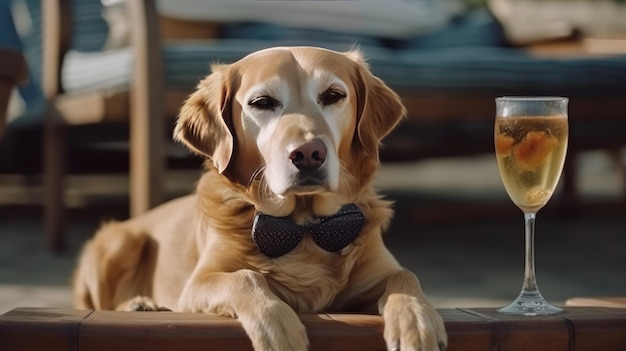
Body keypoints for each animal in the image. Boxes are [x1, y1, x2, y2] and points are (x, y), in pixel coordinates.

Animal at [72, 47, 444, 351]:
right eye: (262, 103)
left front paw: (416, 322)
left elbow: (405, 277)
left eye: (333, 95)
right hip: (120, 241)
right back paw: (139, 304)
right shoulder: (197, 284)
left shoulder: (379, 271)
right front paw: (276, 325)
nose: (309, 153)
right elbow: (246, 277)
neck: (303, 228)